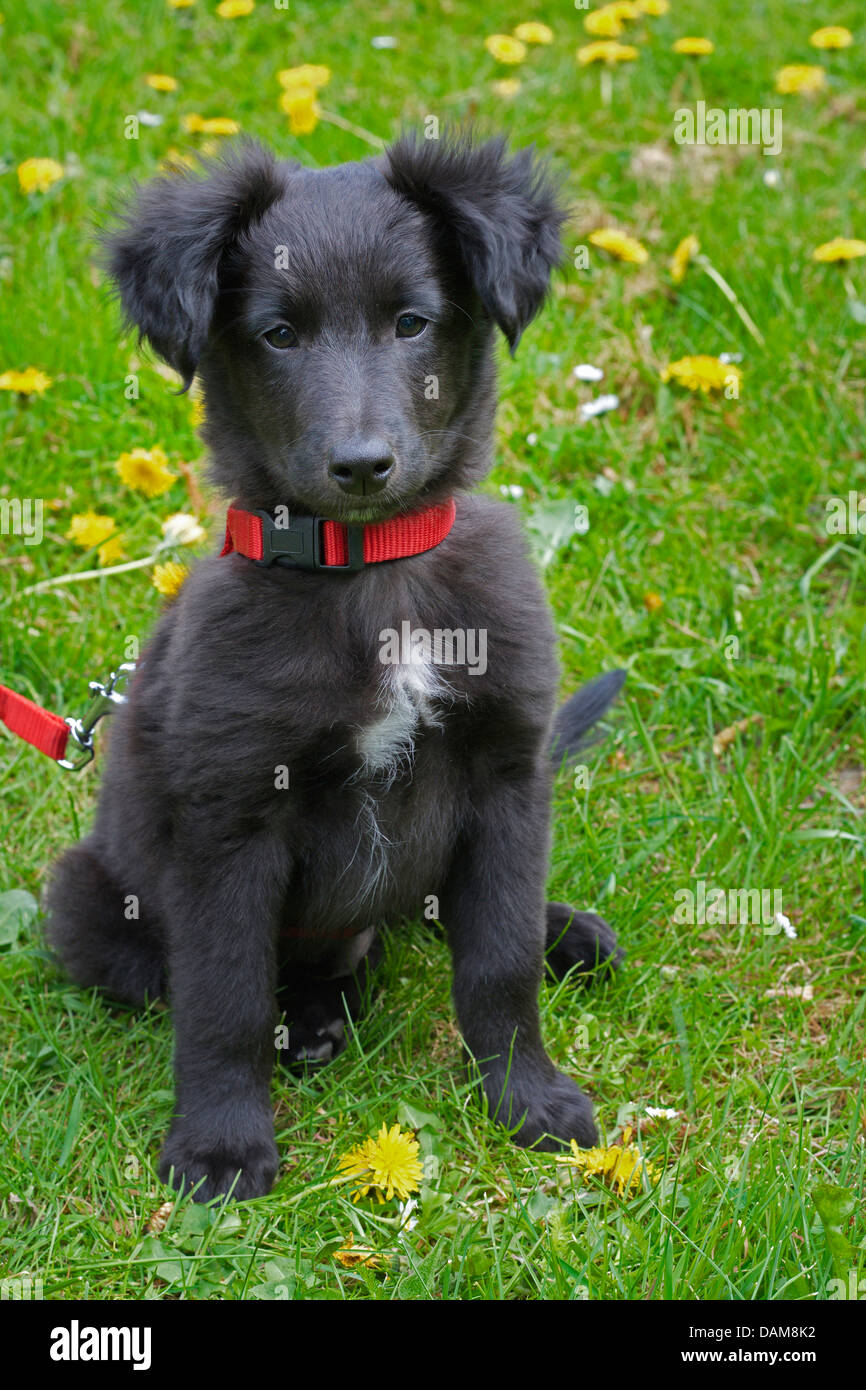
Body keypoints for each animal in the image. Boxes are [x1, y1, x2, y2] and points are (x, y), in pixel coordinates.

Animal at [45, 132, 622, 1206]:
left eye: (411, 322)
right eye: (278, 335)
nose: (361, 465)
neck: (370, 572)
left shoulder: (507, 775)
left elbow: (499, 959)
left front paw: (528, 1097)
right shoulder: (231, 818)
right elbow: (224, 999)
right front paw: (221, 1145)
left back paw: (564, 930)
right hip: (87, 897)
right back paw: (311, 1024)